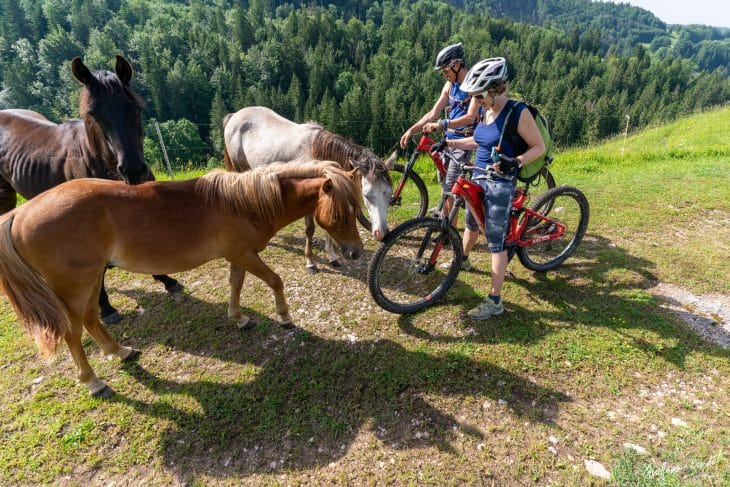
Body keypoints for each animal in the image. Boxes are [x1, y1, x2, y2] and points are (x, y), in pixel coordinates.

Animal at [0, 160, 363, 397]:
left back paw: (120, 351)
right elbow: (275, 281)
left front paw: (239, 319)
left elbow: (236, 286)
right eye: (340, 213)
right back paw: (93, 381)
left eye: (357, 208)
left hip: (91, 279)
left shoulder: (238, 256)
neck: (244, 203)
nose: (356, 253)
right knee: (73, 333)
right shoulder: (246, 255)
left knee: (91, 319)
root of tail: (21, 213)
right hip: (75, 286)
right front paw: (285, 317)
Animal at [222, 106, 395, 273]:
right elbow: (310, 229)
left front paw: (332, 257)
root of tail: (235, 115)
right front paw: (310, 263)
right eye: (367, 195)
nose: (381, 233)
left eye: (389, 195)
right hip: (238, 167)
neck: (319, 153)